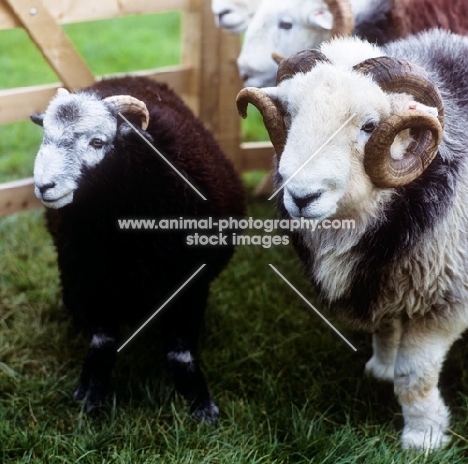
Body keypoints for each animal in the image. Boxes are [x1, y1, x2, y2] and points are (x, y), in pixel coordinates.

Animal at [31, 75, 247, 420]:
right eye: (45, 135)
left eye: (97, 142)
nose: (44, 186)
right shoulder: (93, 279)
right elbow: (102, 341)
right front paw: (91, 392)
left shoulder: (192, 282)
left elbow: (180, 354)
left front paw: (201, 403)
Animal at [236, 29, 468, 450]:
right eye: (290, 115)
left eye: (370, 125)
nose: (302, 197)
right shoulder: (384, 282)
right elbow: (386, 328)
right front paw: (381, 368)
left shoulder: (446, 298)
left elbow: (415, 375)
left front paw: (423, 436)